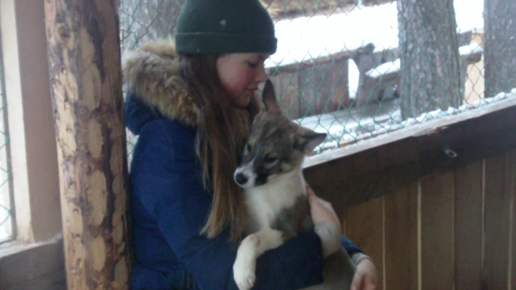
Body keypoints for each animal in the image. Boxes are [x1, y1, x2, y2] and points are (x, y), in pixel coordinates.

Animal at [233, 80, 354, 290]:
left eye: (270, 159)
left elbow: (252, 238)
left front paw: (242, 272)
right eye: (249, 146)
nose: (240, 178)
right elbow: (246, 235)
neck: (266, 189)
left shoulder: (285, 229)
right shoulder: (248, 221)